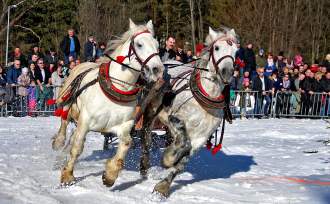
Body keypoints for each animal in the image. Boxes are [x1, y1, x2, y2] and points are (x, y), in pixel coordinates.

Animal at [52, 19, 164, 186]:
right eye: (139, 44)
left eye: (157, 45)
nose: (158, 69)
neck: (116, 88)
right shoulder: (85, 121)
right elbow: (77, 147)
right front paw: (67, 175)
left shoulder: (123, 125)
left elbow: (126, 143)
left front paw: (110, 174)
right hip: (67, 104)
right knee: (64, 123)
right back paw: (58, 143)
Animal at [139, 27, 237, 196]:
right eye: (217, 48)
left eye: (236, 51)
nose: (227, 72)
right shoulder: (174, 118)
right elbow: (184, 141)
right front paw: (168, 159)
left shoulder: (200, 138)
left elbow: (182, 162)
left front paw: (163, 186)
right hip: (151, 111)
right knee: (146, 137)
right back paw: (144, 166)